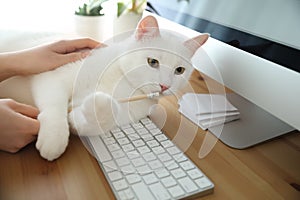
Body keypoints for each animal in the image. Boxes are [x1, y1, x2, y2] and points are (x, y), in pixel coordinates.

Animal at [0, 16, 209, 162]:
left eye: (179, 70)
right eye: (152, 62)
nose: (165, 85)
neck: (123, 82)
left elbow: (89, 119)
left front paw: (98, 104)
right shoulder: (54, 77)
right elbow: (55, 108)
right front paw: (54, 138)